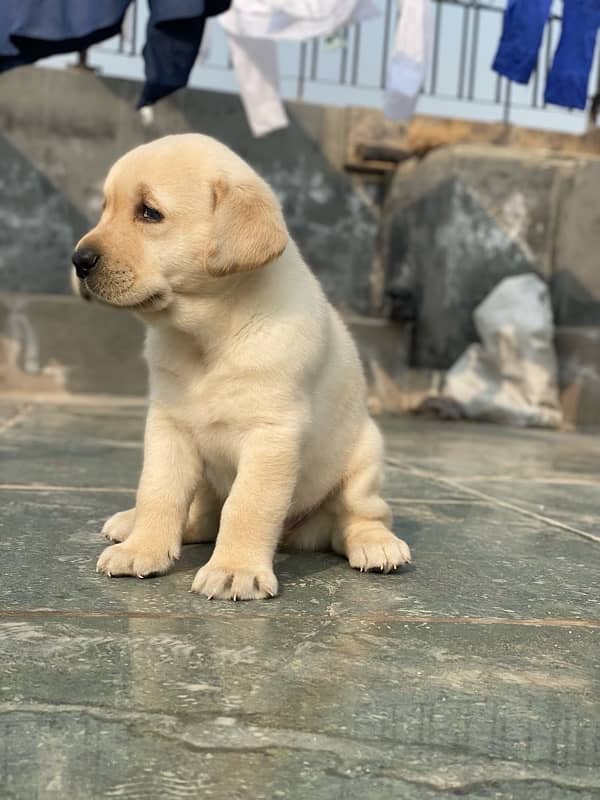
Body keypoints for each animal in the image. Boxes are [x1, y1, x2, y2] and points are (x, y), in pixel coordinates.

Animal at [69, 134, 408, 596]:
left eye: (149, 212)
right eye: (105, 208)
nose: (78, 260)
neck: (208, 337)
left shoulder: (272, 434)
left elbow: (248, 505)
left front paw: (235, 569)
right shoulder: (168, 425)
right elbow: (158, 491)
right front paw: (142, 549)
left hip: (364, 457)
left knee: (359, 516)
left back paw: (376, 545)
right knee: (202, 515)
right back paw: (131, 524)